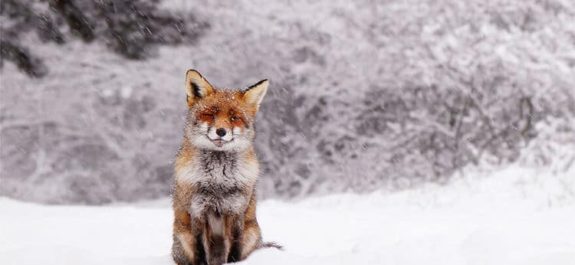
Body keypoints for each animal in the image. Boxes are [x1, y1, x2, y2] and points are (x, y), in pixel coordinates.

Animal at [172, 69, 278, 264]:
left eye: (234, 118)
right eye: (210, 115)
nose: (221, 131)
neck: (218, 180)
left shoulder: (236, 210)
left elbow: (235, 247)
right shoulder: (198, 211)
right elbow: (200, 250)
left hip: (251, 233)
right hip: (184, 237)